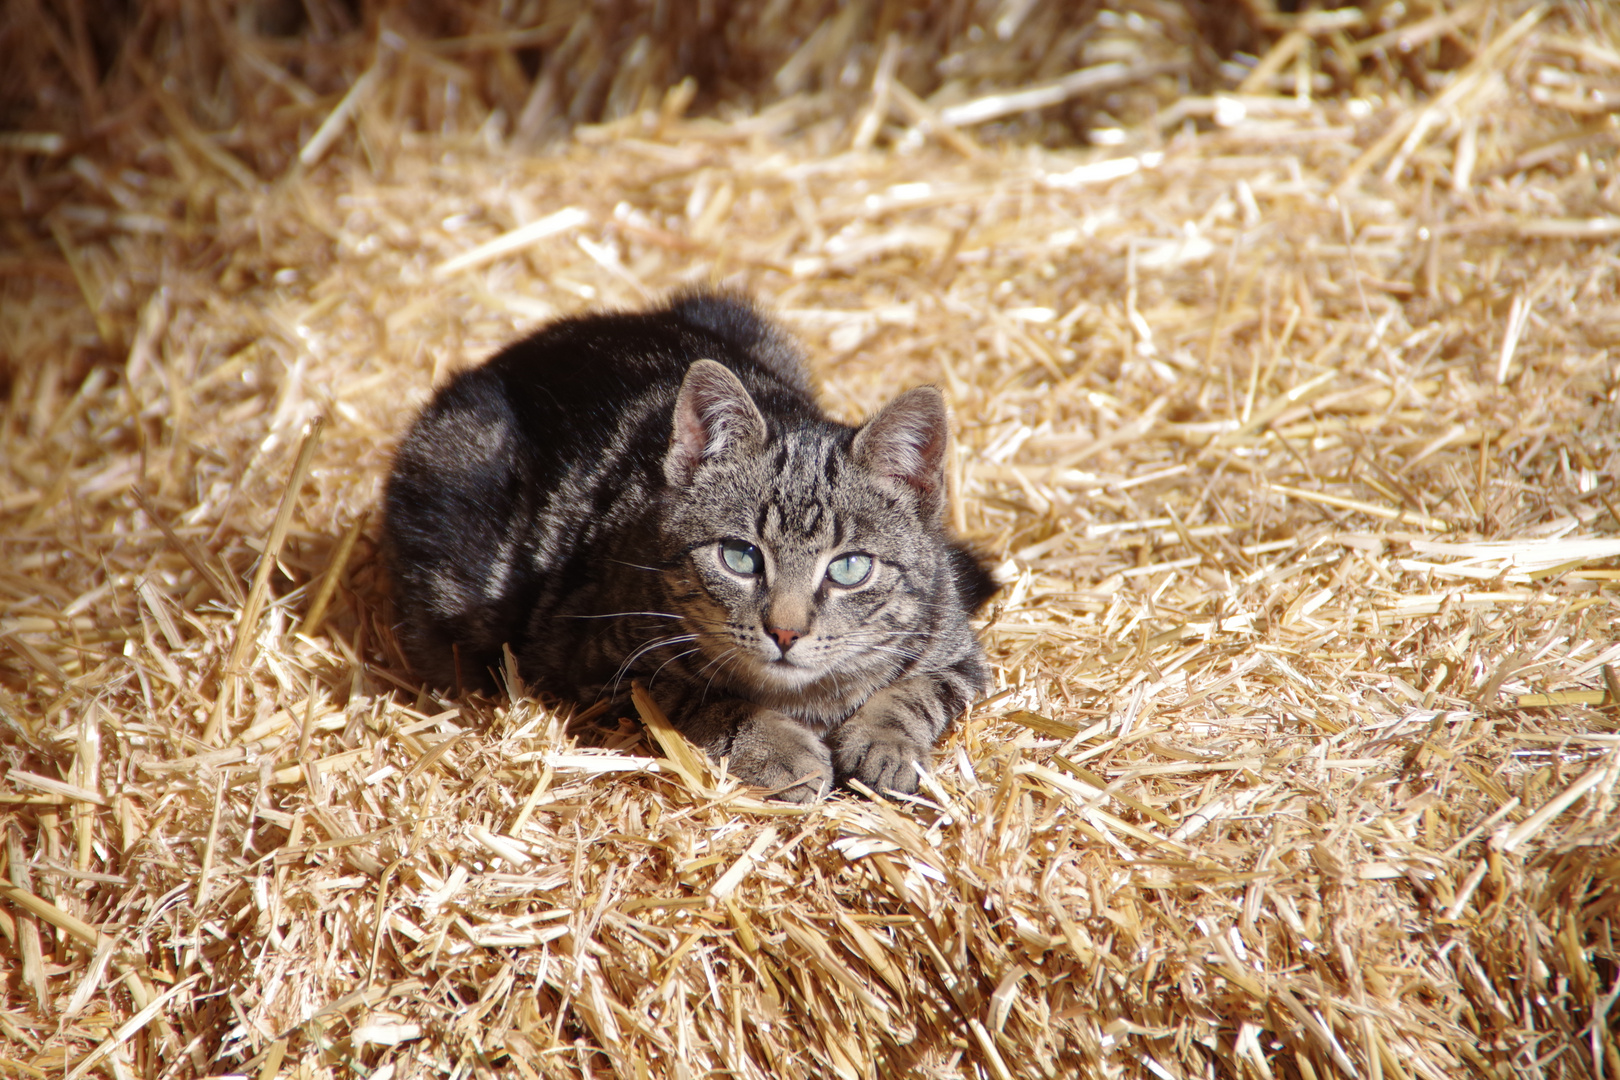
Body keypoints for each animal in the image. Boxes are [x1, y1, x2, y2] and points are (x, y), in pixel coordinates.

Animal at [388, 296, 997, 803]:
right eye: (740, 557)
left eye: (849, 568)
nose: (785, 632)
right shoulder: (602, 662)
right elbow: (706, 698)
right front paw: (782, 750)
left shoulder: (959, 651)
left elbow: (917, 692)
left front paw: (885, 745)